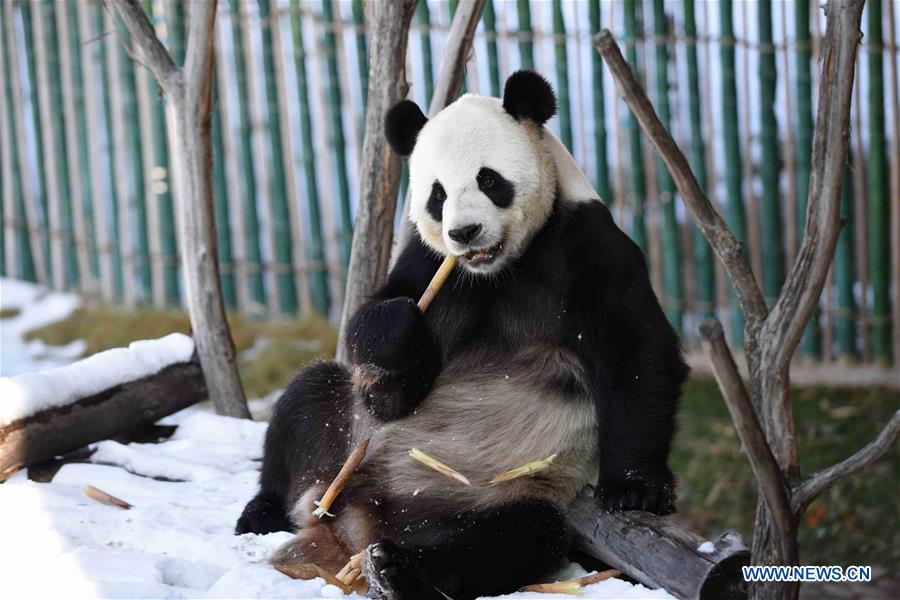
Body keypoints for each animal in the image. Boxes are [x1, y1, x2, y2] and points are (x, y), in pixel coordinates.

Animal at [236, 71, 688, 600]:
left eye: (488, 180)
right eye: (437, 195)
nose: (464, 232)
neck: (500, 268)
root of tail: (354, 526)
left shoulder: (590, 248)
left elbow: (636, 353)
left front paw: (637, 487)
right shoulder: (430, 265)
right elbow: (387, 385)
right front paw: (396, 333)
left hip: (497, 492)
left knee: (513, 538)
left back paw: (396, 569)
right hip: (343, 444)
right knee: (309, 399)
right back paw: (262, 513)